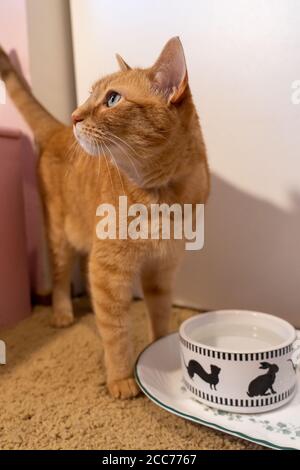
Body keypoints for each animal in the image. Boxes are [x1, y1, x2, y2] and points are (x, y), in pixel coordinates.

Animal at [0, 37, 209, 396]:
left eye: (112, 98)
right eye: (90, 94)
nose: (75, 115)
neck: (160, 194)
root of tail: (57, 129)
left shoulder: (162, 268)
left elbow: (160, 315)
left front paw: (158, 347)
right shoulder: (108, 273)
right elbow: (116, 332)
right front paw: (122, 378)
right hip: (59, 238)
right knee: (59, 279)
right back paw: (62, 313)